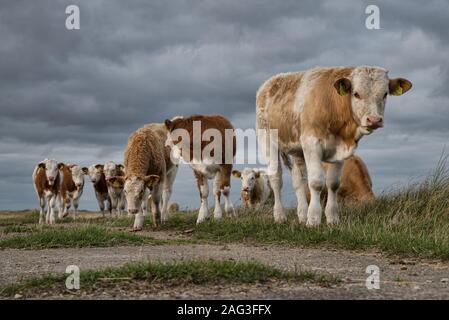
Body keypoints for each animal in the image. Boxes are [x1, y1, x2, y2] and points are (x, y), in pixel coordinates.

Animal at [256, 65, 410, 225]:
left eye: (385, 94)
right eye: (356, 94)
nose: (374, 119)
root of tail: (271, 82)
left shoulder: (339, 150)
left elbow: (333, 183)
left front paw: (332, 218)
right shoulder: (311, 144)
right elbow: (316, 182)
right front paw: (313, 219)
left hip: (297, 150)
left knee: (299, 180)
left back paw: (302, 215)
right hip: (267, 140)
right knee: (276, 179)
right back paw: (280, 216)